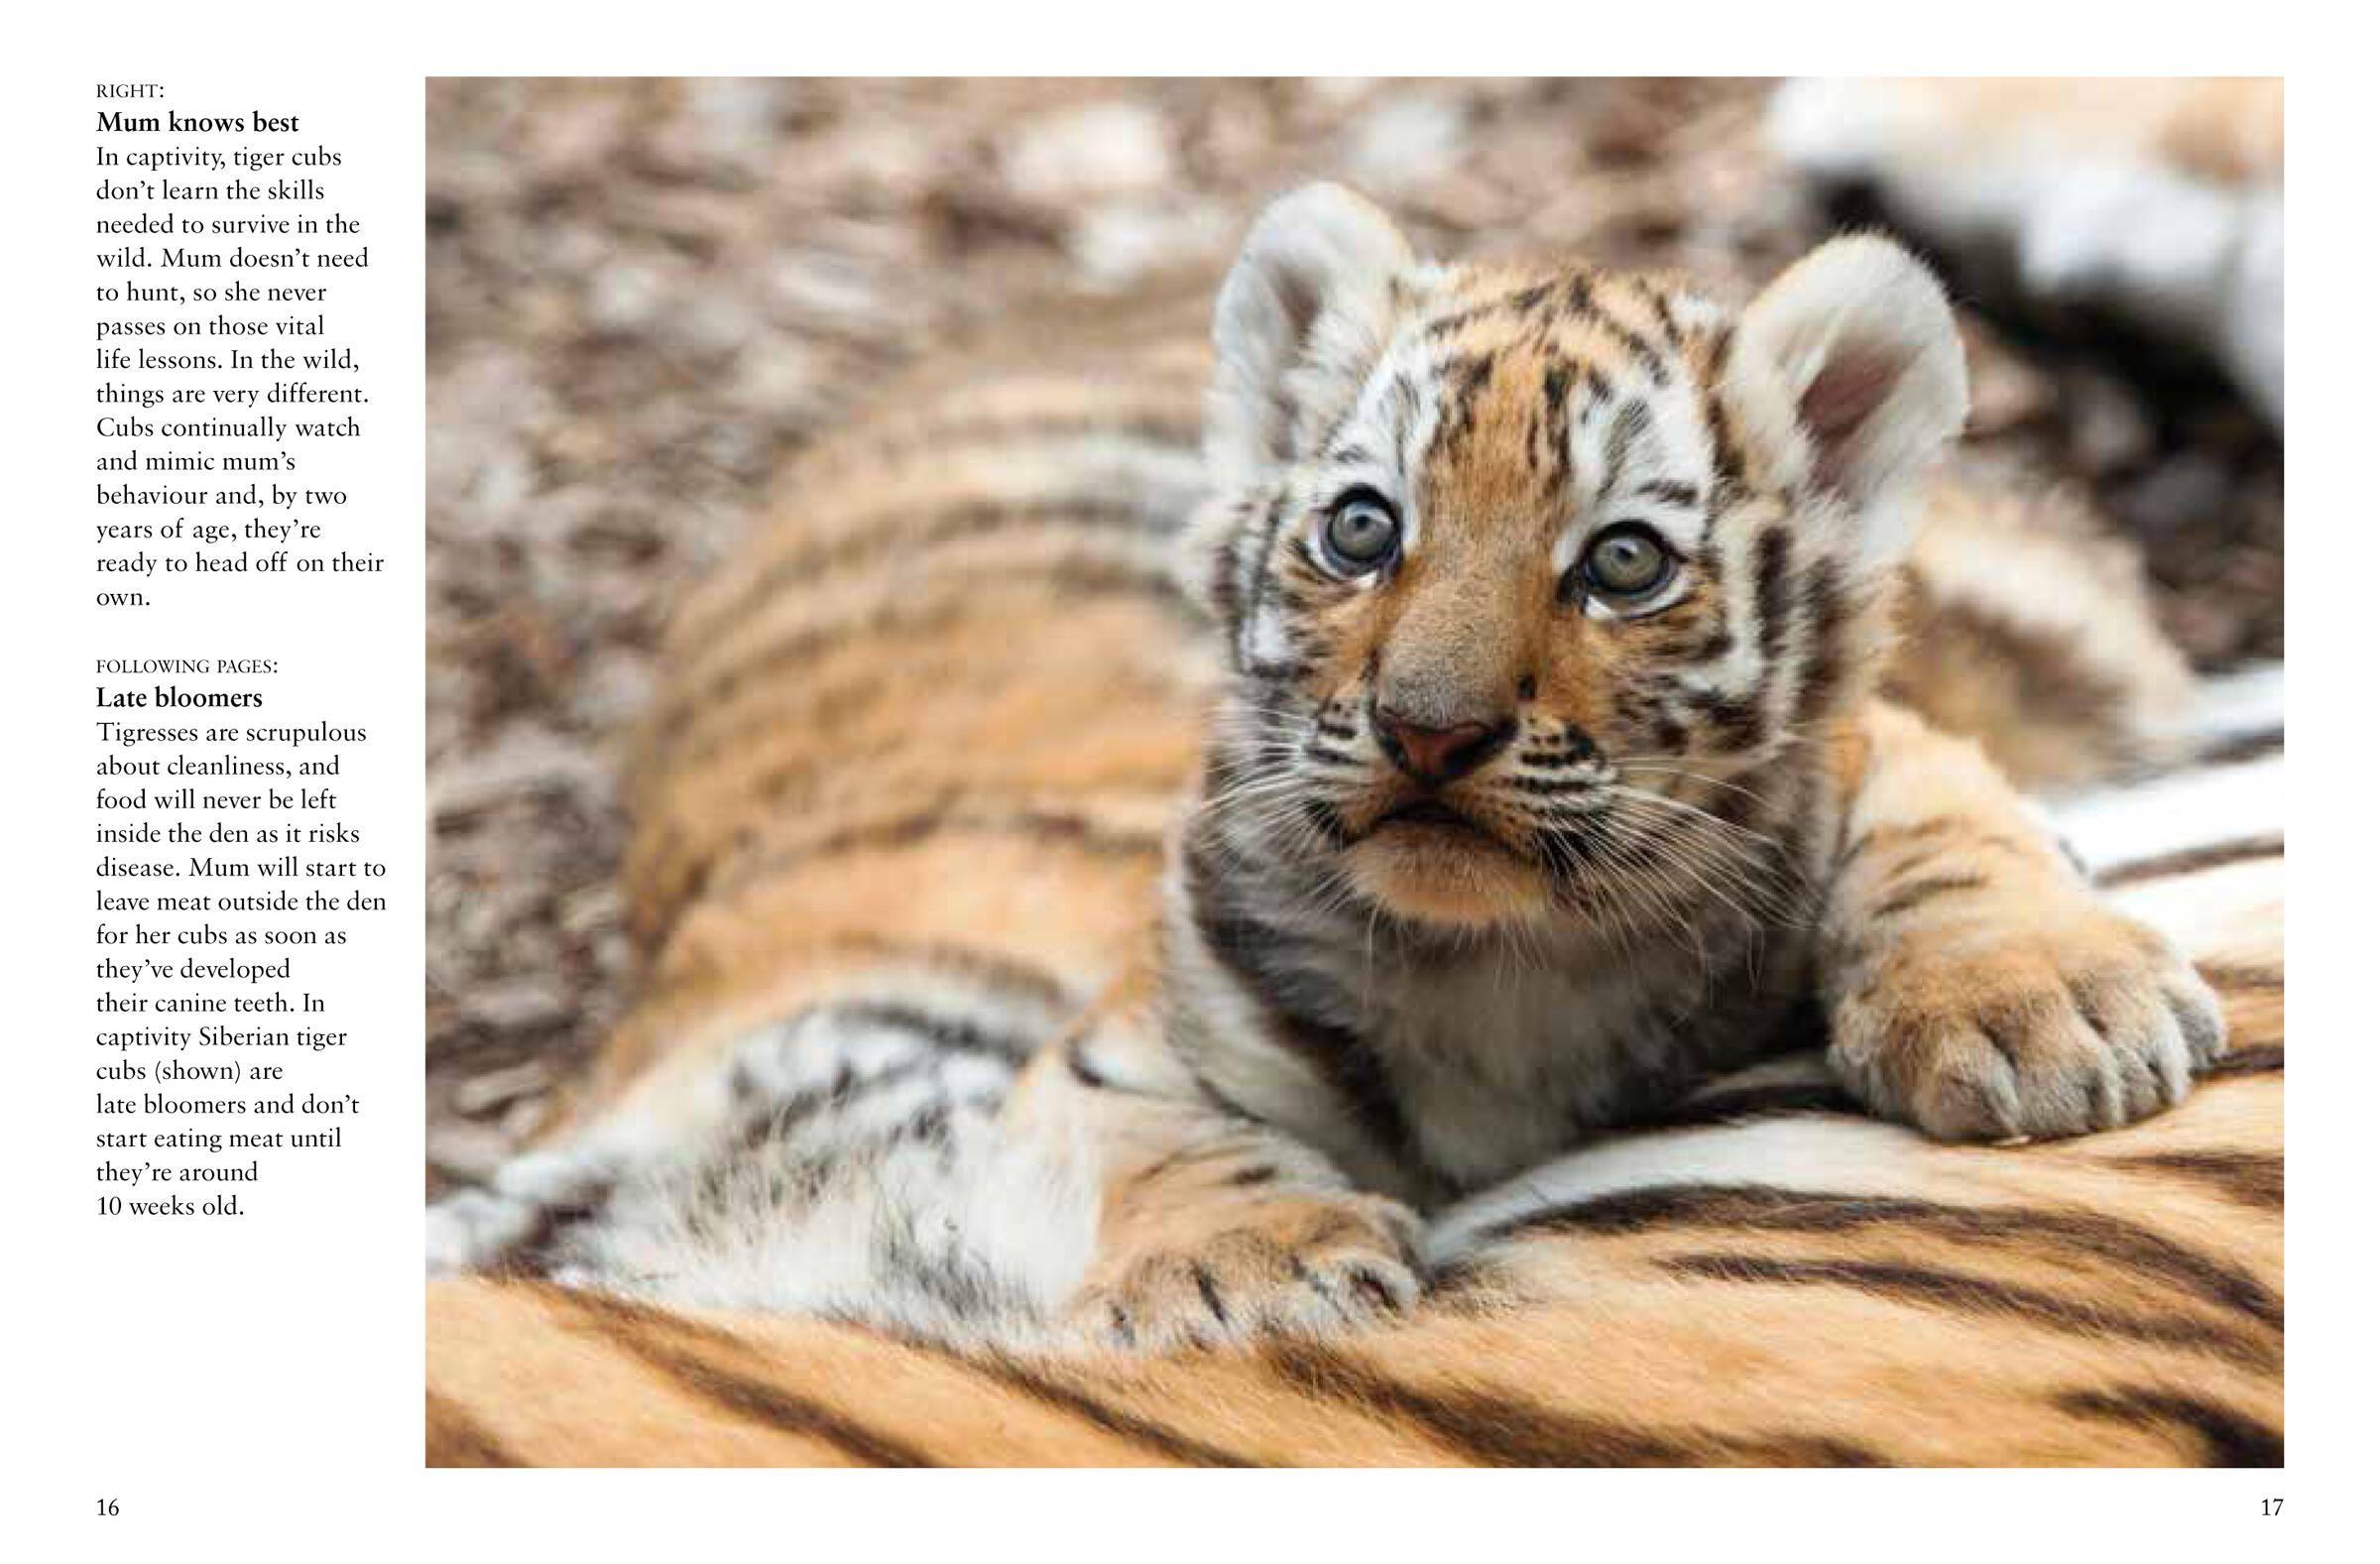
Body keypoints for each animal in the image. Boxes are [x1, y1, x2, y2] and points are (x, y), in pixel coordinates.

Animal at [428, 185, 2280, 1461]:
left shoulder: (1852, 755)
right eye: (1366, 529)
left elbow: (1940, 817)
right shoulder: (1137, 1010)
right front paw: (1252, 1269)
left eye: (1622, 562)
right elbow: (1163, 1127)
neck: (1508, 965)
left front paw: (2046, 1016)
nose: (1429, 729)